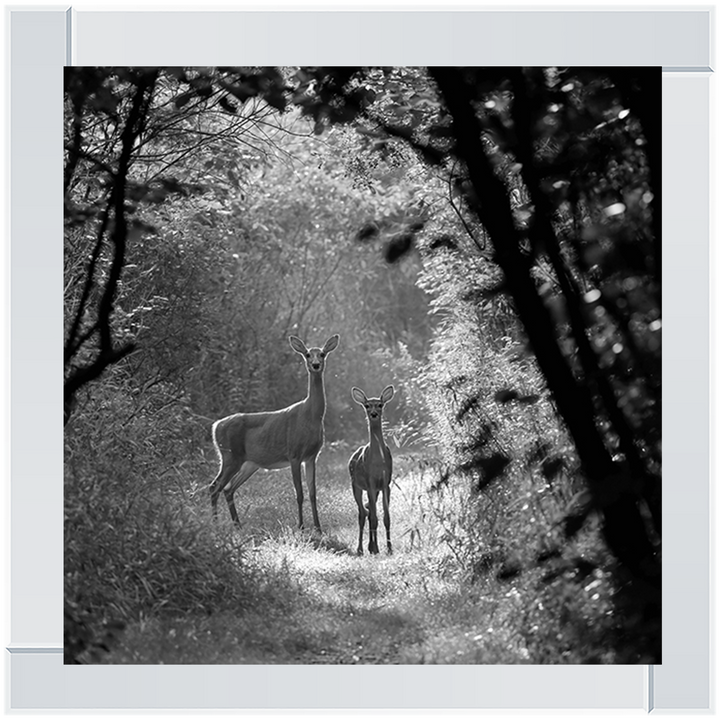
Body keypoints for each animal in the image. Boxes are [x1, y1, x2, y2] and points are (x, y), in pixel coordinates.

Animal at [209, 334, 340, 532]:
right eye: (308, 354)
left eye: (323, 354)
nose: (316, 365)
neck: (311, 416)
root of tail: (215, 426)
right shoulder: (294, 453)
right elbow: (299, 493)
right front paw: (301, 526)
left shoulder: (311, 456)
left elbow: (312, 493)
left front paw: (318, 528)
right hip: (230, 456)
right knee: (214, 486)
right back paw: (216, 525)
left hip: (249, 463)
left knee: (228, 488)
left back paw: (237, 525)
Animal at [348, 385, 395, 555]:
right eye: (367, 405)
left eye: (380, 404)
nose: (373, 414)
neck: (378, 461)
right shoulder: (370, 483)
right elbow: (374, 517)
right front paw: (376, 548)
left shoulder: (385, 483)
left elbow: (386, 518)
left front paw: (389, 548)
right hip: (355, 485)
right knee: (363, 513)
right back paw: (361, 549)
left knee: (368, 512)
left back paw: (370, 546)